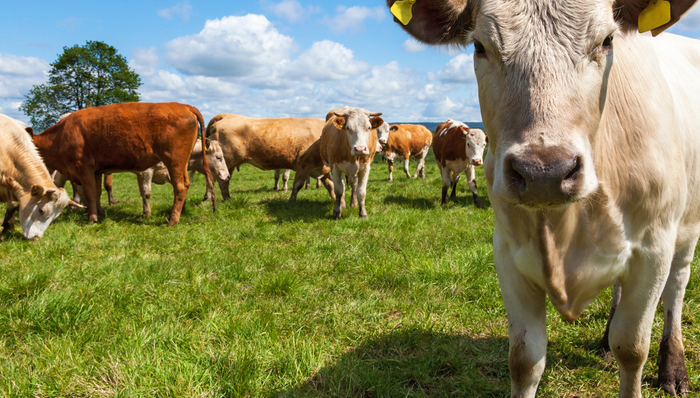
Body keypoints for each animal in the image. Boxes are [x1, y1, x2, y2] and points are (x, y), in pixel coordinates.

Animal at [205, 114, 334, 202]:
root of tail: (227, 115)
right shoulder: (304, 165)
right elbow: (297, 185)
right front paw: (291, 201)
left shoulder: (320, 168)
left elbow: (330, 184)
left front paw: (334, 198)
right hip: (225, 162)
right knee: (220, 180)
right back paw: (224, 199)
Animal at [388, 0, 700, 398]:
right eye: (480, 47)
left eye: (607, 40)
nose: (544, 173)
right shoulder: (507, 252)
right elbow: (524, 359)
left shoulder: (653, 248)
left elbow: (632, 348)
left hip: (686, 228)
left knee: (677, 287)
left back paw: (673, 366)